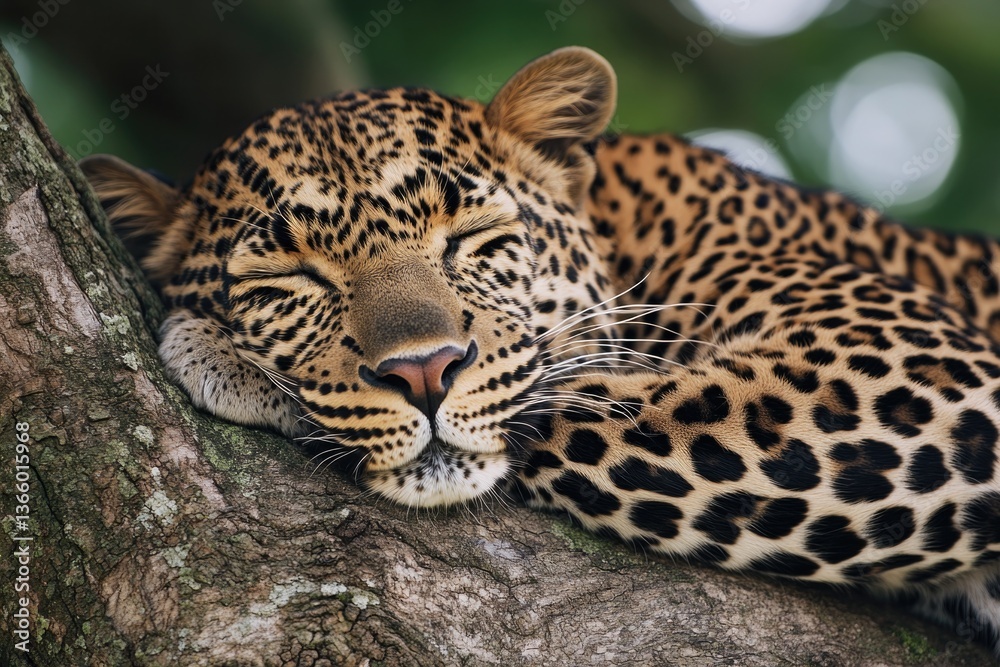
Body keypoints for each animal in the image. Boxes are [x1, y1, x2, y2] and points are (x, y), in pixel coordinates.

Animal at [81, 46, 1000, 656]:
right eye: (289, 278)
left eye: (470, 238)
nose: (423, 371)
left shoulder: (906, 375)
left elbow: (554, 398)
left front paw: (218, 352)